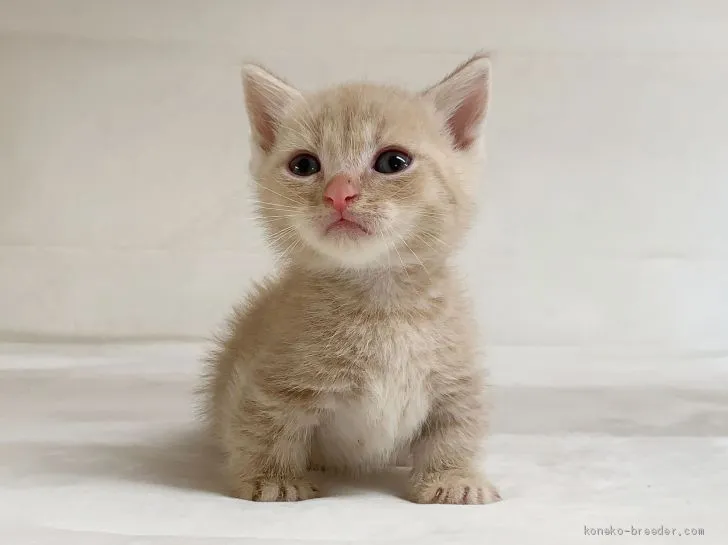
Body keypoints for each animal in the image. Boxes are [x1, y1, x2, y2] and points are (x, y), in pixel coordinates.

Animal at [202, 53, 504, 504]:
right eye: (304, 165)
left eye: (393, 162)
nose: (339, 193)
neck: (381, 303)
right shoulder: (268, 382)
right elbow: (264, 425)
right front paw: (274, 479)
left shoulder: (456, 375)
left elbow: (456, 427)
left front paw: (454, 477)